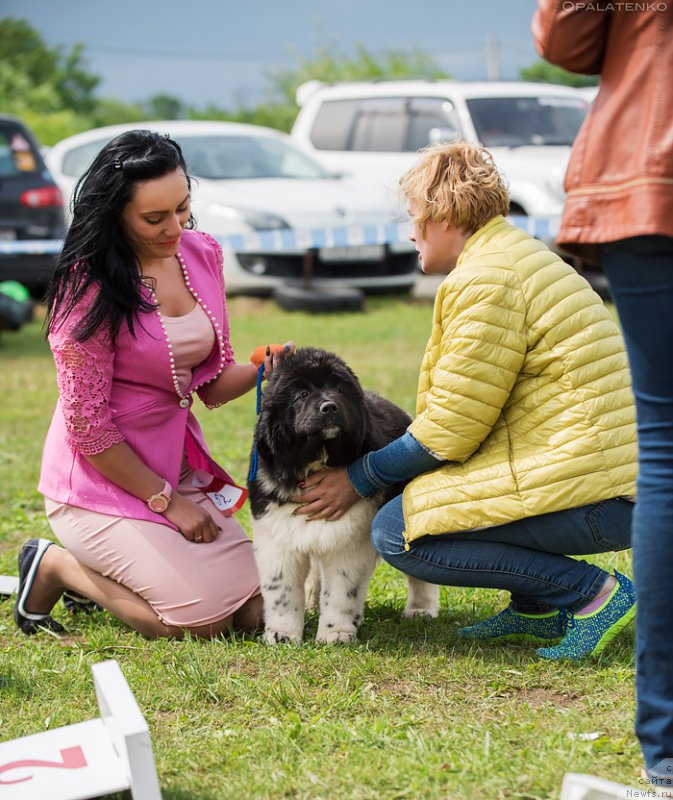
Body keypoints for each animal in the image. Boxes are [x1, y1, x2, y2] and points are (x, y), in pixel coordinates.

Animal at [249, 346, 438, 644]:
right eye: (302, 394)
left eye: (338, 389)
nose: (329, 407)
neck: (315, 463)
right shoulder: (277, 536)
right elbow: (282, 591)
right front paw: (282, 634)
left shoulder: (348, 540)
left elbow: (341, 592)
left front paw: (335, 633)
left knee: (418, 575)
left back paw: (421, 609)